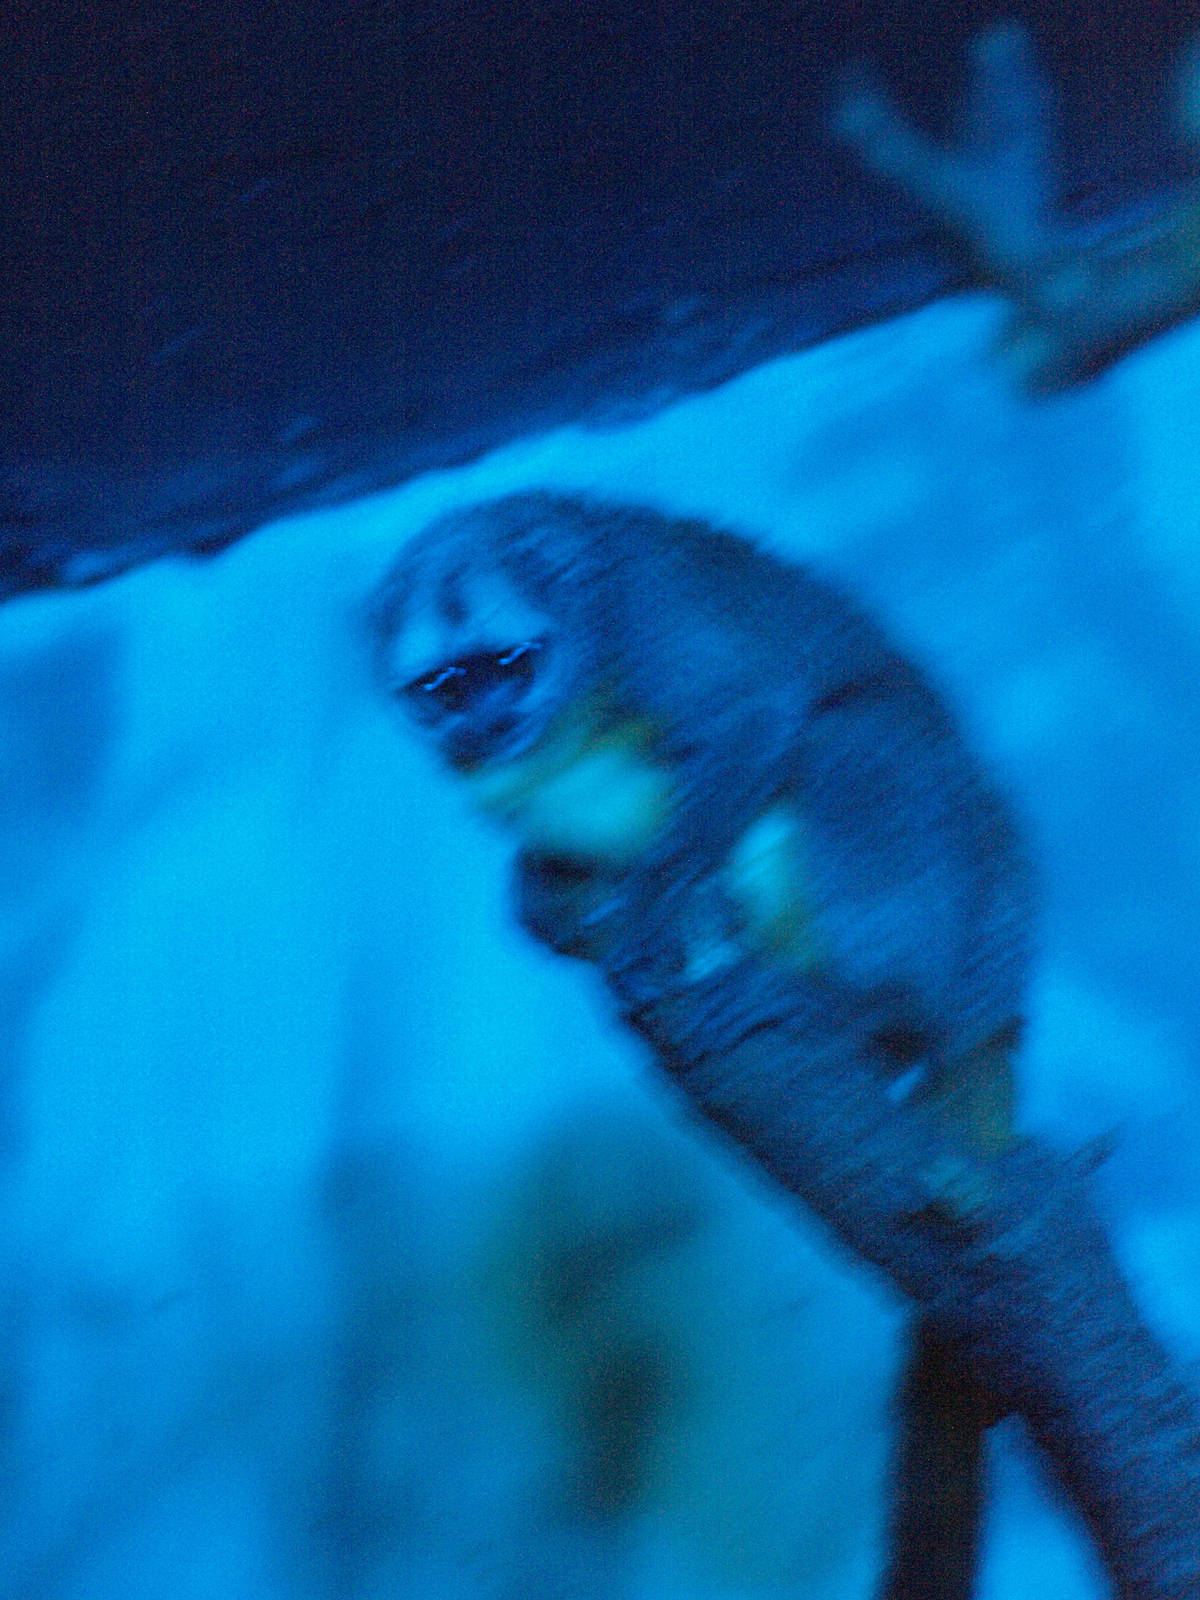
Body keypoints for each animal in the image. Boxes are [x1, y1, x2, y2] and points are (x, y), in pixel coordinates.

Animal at [368, 489, 1035, 1597]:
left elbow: (755, 711)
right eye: (444, 684)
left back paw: (853, 1008)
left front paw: (648, 906)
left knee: (851, 739)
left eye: (509, 662)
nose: (481, 724)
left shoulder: (658, 627)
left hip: (956, 903)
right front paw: (541, 898)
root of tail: (1006, 988)